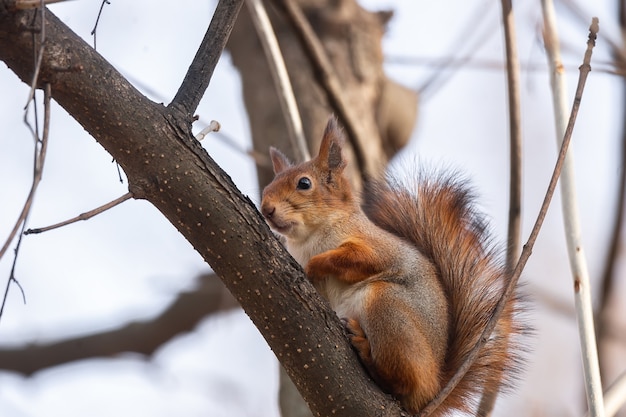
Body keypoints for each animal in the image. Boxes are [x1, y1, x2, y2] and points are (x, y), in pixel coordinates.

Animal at [258, 116, 520, 412]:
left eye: (304, 183)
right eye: (268, 186)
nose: (266, 209)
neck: (307, 239)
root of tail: (433, 390)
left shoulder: (378, 249)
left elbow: (354, 259)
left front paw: (315, 265)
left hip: (387, 307)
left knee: (400, 381)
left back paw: (365, 350)